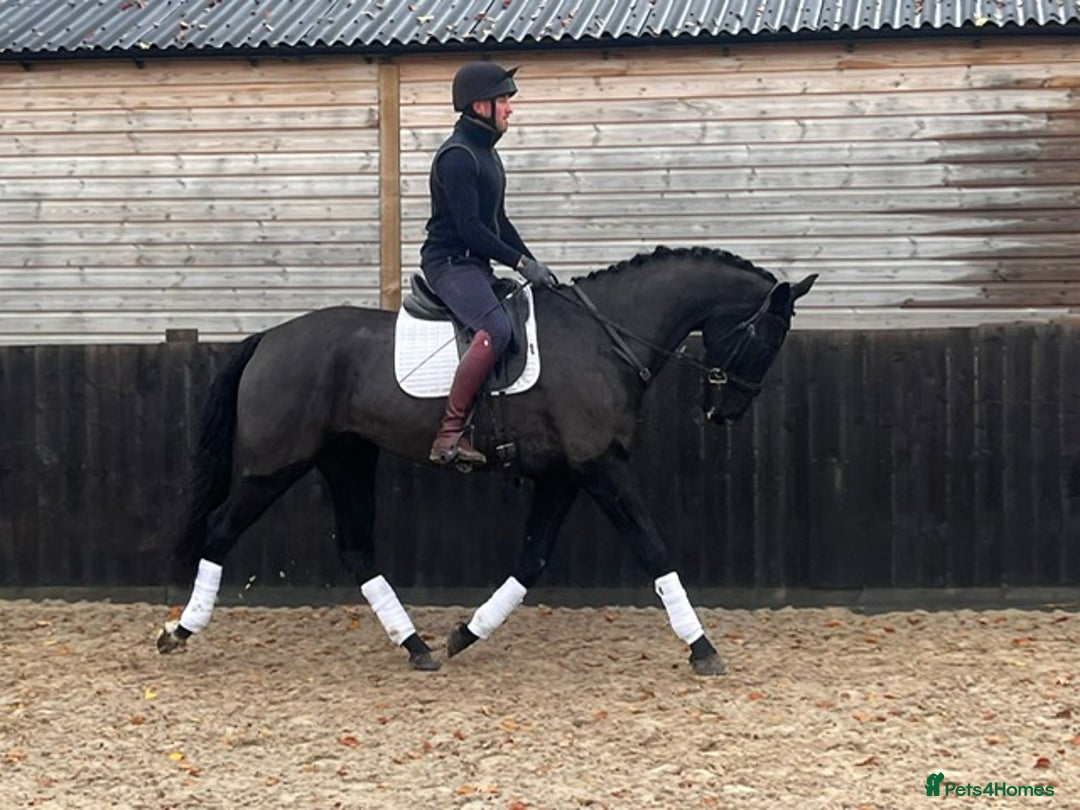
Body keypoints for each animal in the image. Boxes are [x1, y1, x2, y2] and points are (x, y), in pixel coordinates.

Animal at [156, 245, 816, 676]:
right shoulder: (600, 466)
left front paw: (464, 634)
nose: (726, 412)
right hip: (275, 465)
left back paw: (417, 646)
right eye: (764, 336)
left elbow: (532, 559)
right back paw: (178, 630)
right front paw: (702, 647)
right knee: (220, 531)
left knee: (357, 549)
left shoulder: (565, 474)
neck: (605, 337)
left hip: (347, 458)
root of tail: (270, 338)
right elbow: (654, 549)